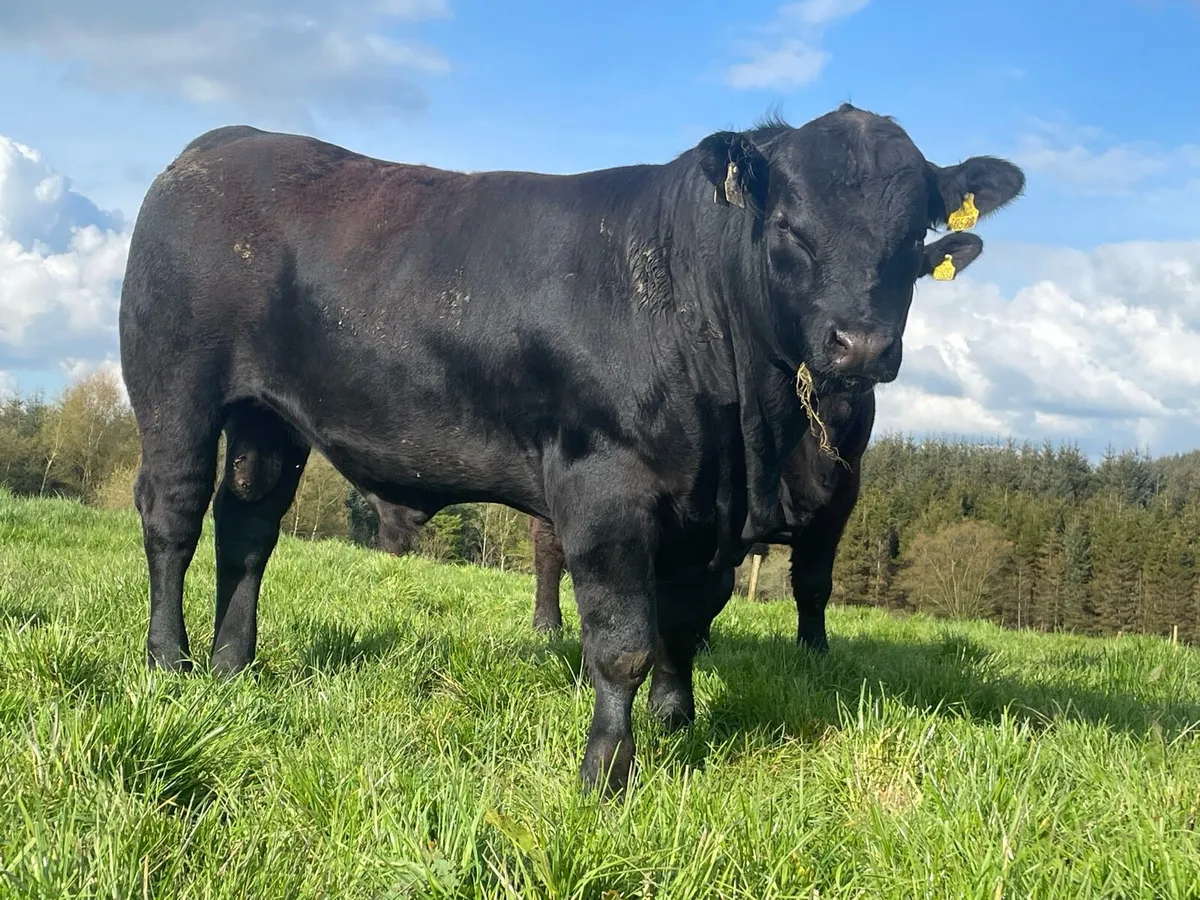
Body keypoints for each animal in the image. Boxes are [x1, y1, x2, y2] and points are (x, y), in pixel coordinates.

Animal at [118, 103, 1024, 795]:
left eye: (913, 238)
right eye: (790, 228)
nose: (861, 345)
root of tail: (224, 143)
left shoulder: (706, 514)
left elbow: (684, 625)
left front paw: (678, 726)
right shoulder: (603, 485)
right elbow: (623, 642)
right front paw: (605, 774)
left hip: (266, 421)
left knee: (248, 526)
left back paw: (234, 664)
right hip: (175, 387)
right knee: (174, 515)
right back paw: (168, 661)